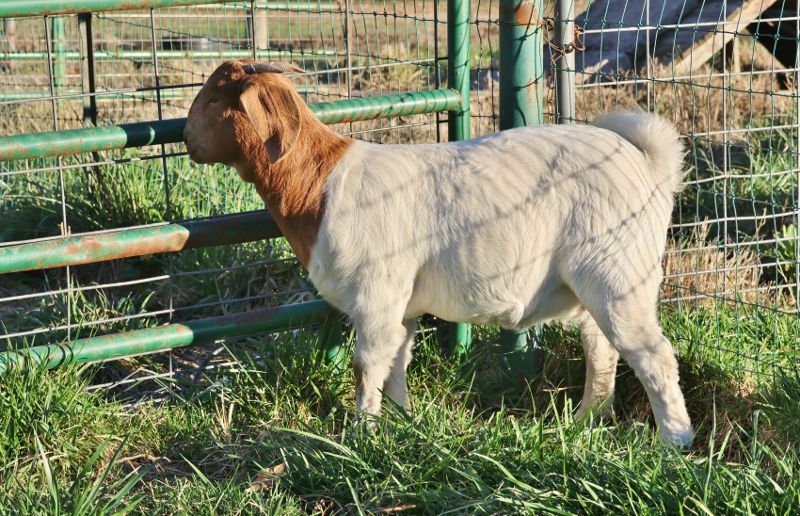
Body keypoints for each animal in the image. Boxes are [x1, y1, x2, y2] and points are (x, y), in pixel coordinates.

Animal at [183, 60, 692, 446]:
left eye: (214, 100)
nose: (186, 140)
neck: (319, 184)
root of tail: (647, 163)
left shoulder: (376, 295)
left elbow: (367, 364)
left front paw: (361, 433)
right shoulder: (401, 305)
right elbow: (396, 360)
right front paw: (401, 419)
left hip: (619, 275)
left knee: (652, 354)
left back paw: (674, 441)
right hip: (593, 285)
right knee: (601, 349)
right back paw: (587, 420)